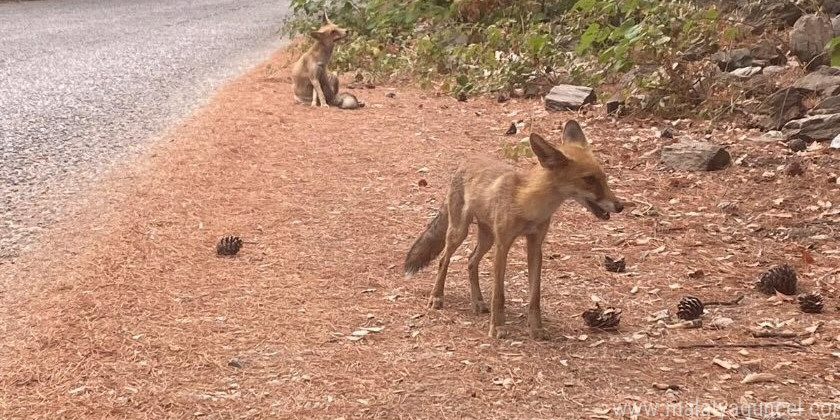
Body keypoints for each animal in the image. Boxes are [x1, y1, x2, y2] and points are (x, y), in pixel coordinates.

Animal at [404, 120, 628, 340]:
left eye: (604, 178)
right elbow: (498, 294)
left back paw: (477, 302)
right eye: (589, 179)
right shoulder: (503, 245)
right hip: (460, 232)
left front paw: (536, 329)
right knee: (444, 259)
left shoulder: (535, 246)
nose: (620, 206)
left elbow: (535, 296)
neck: (528, 206)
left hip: (487, 239)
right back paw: (437, 297)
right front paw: (497, 327)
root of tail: (467, 161)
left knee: (470, 261)